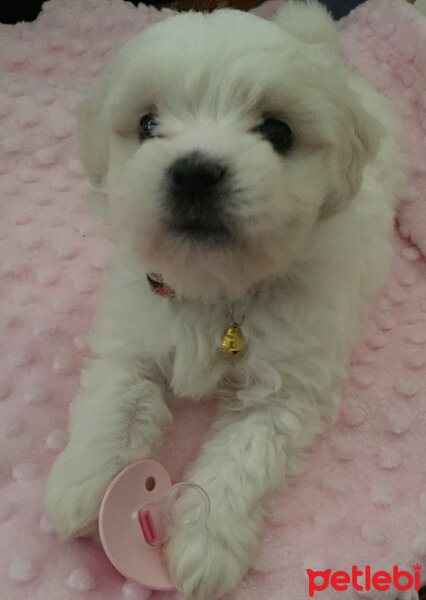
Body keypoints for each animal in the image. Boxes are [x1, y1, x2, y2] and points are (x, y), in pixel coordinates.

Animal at [44, 2, 406, 596]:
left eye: (278, 132)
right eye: (146, 125)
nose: (194, 173)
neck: (214, 288)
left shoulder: (283, 392)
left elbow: (240, 459)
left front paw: (204, 548)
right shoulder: (133, 337)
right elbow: (115, 402)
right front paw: (80, 483)